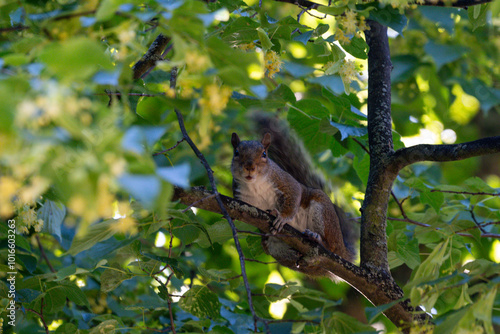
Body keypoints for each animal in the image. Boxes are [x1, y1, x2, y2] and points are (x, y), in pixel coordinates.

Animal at [230, 116, 356, 278]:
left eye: (264, 154)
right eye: (236, 153)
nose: (250, 167)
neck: (254, 184)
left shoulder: (285, 181)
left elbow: (294, 196)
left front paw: (282, 217)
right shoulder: (241, 196)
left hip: (323, 211)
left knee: (330, 246)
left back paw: (316, 238)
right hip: (270, 244)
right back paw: (298, 257)